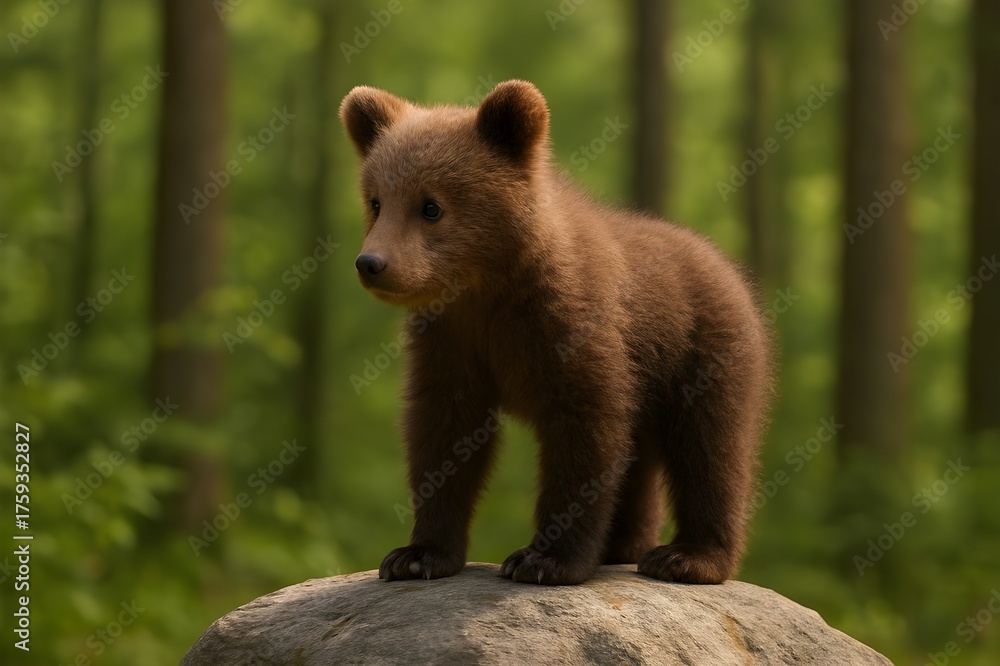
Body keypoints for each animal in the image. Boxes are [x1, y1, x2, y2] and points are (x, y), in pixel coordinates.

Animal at [339, 80, 772, 585]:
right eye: (375, 201)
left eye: (430, 206)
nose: (371, 263)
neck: (487, 291)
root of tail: (726, 265)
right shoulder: (449, 341)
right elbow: (443, 432)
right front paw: (416, 554)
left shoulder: (570, 327)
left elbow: (583, 433)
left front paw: (543, 559)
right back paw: (622, 546)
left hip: (701, 351)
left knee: (710, 449)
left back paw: (686, 556)